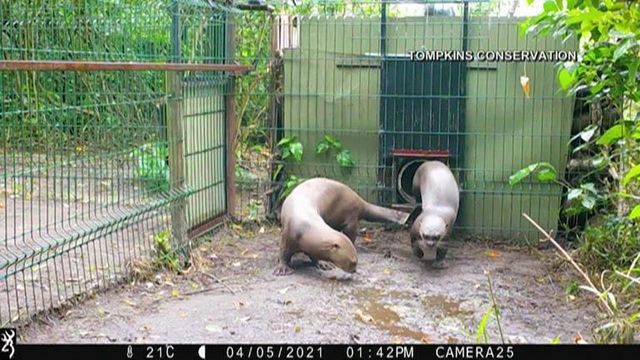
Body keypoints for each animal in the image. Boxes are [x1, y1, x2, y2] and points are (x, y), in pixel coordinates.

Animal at [276, 178, 410, 276]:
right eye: (353, 262)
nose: (355, 271)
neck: (306, 227)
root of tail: (359, 199)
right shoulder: (288, 235)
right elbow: (283, 252)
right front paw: (283, 268)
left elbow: (314, 255)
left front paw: (323, 264)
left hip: (351, 217)